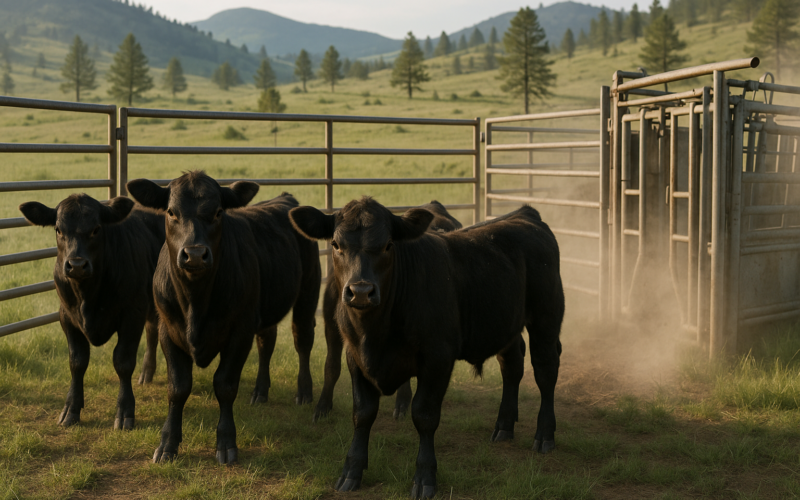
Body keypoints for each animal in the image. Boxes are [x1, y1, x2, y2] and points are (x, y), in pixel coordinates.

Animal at [18, 194, 165, 430]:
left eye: (96, 229)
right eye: (58, 229)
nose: (77, 265)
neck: (87, 295)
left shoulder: (132, 313)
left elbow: (123, 362)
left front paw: (125, 412)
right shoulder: (67, 317)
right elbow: (77, 362)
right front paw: (71, 409)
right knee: (153, 330)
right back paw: (147, 373)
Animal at [126, 171, 321, 465]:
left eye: (218, 212)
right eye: (171, 212)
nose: (195, 254)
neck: (195, 301)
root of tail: (285, 198)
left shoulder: (240, 332)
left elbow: (225, 385)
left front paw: (227, 443)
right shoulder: (167, 331)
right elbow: (178, 387)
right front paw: (167, 444)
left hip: (308, 293)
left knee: (303, 341)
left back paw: (304, 392)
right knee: (267, 342)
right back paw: (260, 392)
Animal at [313, 201, 463, 422]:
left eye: (387, 245)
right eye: (336, 244)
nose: (360, 292)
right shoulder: (331, 324)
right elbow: (331, 365)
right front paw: (322, 406)